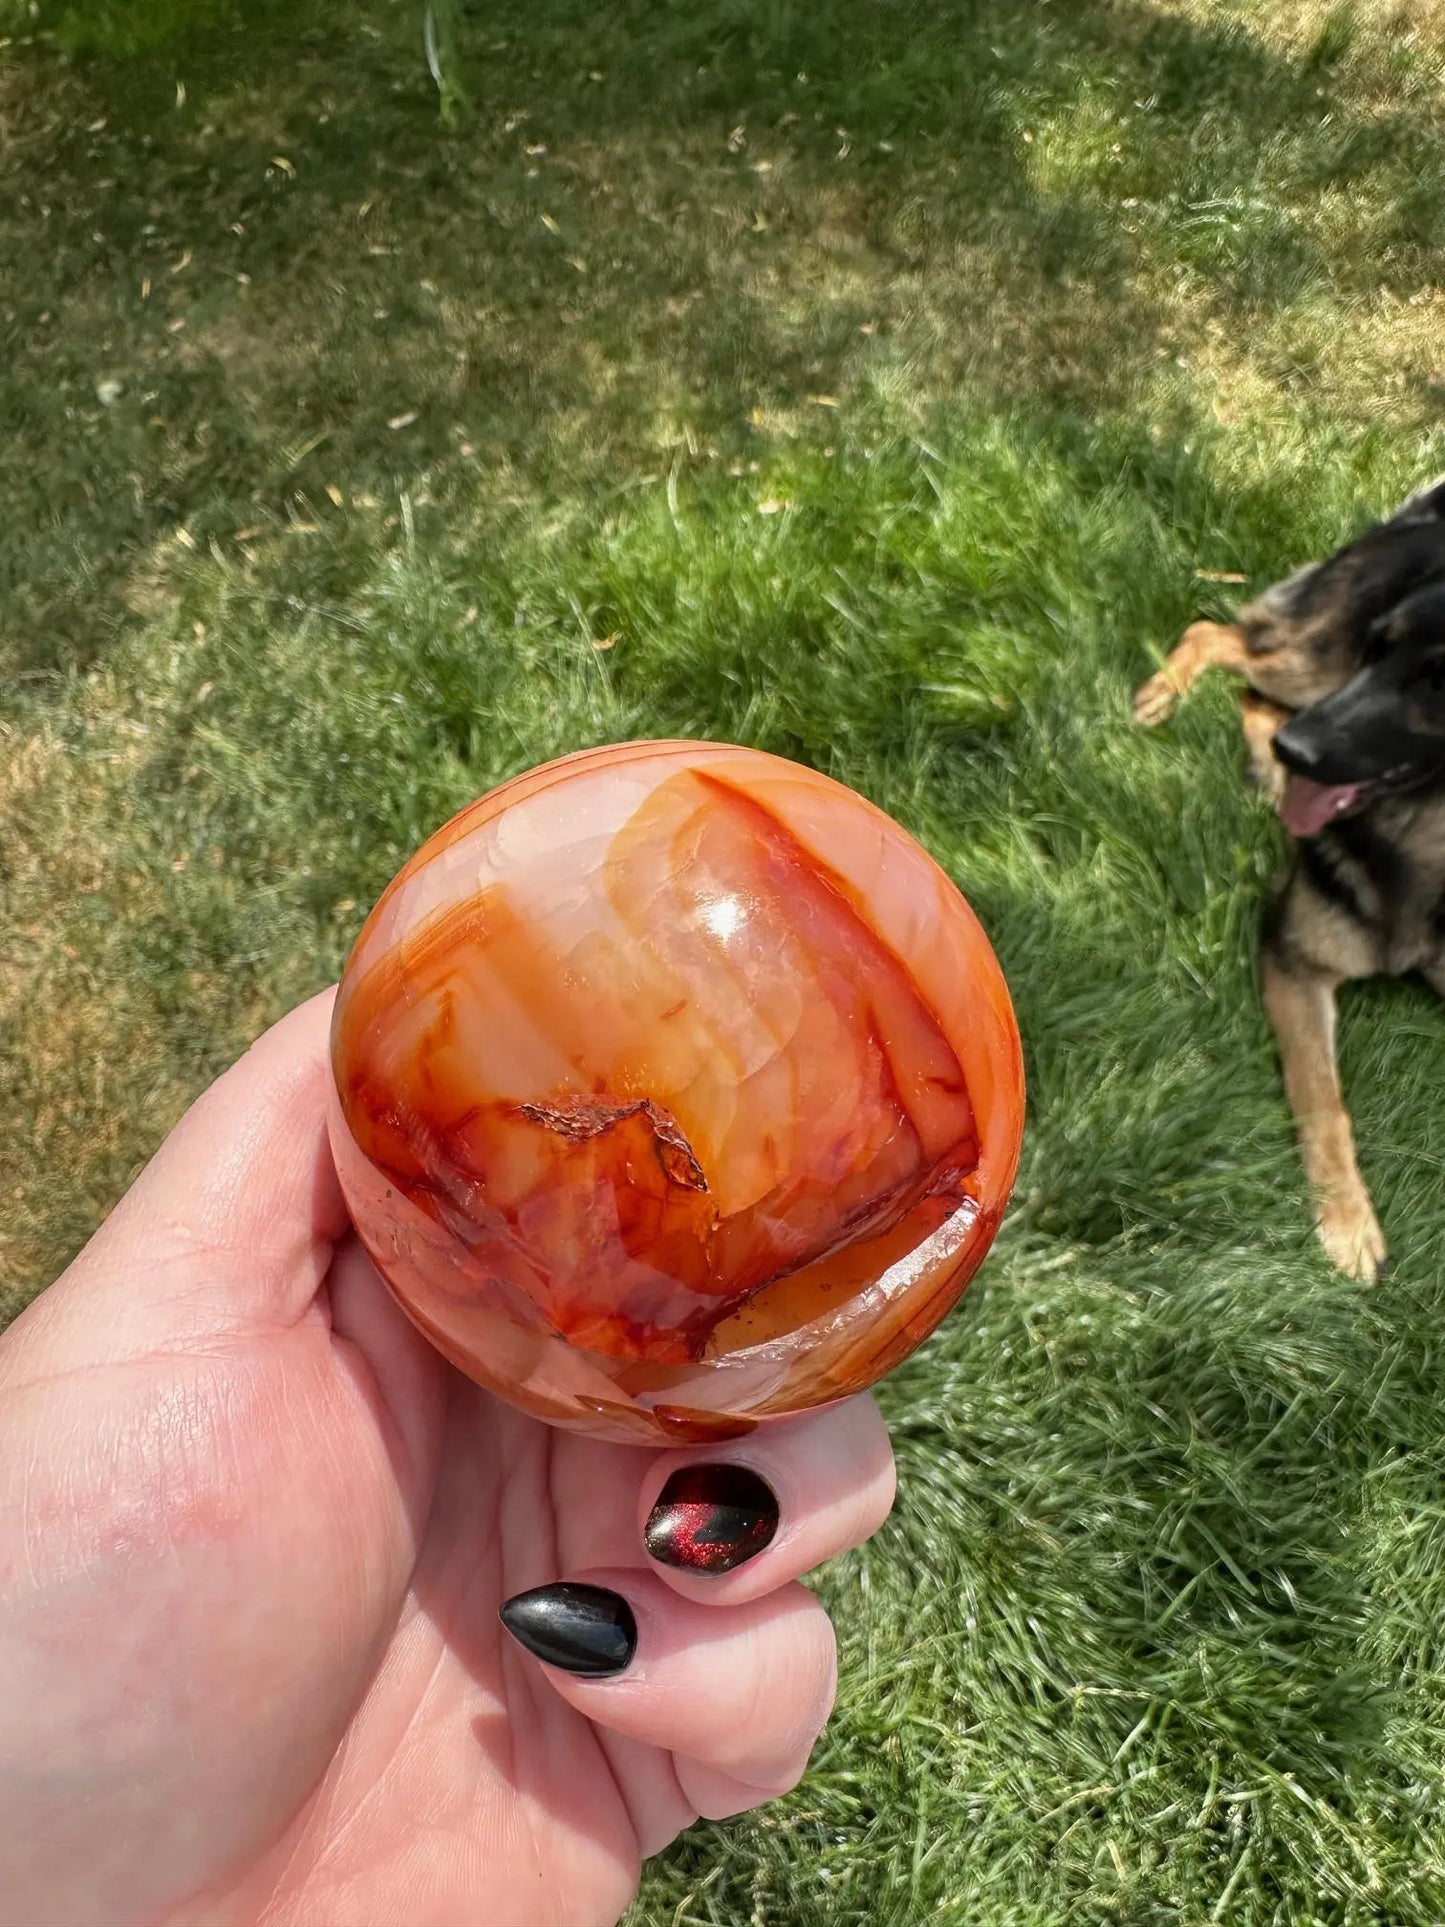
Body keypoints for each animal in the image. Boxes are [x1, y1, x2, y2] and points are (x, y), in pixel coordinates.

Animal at [1132, 481, 1445, 1287]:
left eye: (1438, 681)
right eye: (1379, 648)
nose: (1298, 752)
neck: (1424, 836)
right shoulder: (1294, 961)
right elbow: (1324, 1102)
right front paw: (1347, 1223)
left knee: (1253, 692)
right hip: (1313, 668)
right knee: (1221, 639)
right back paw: (1175, 700)